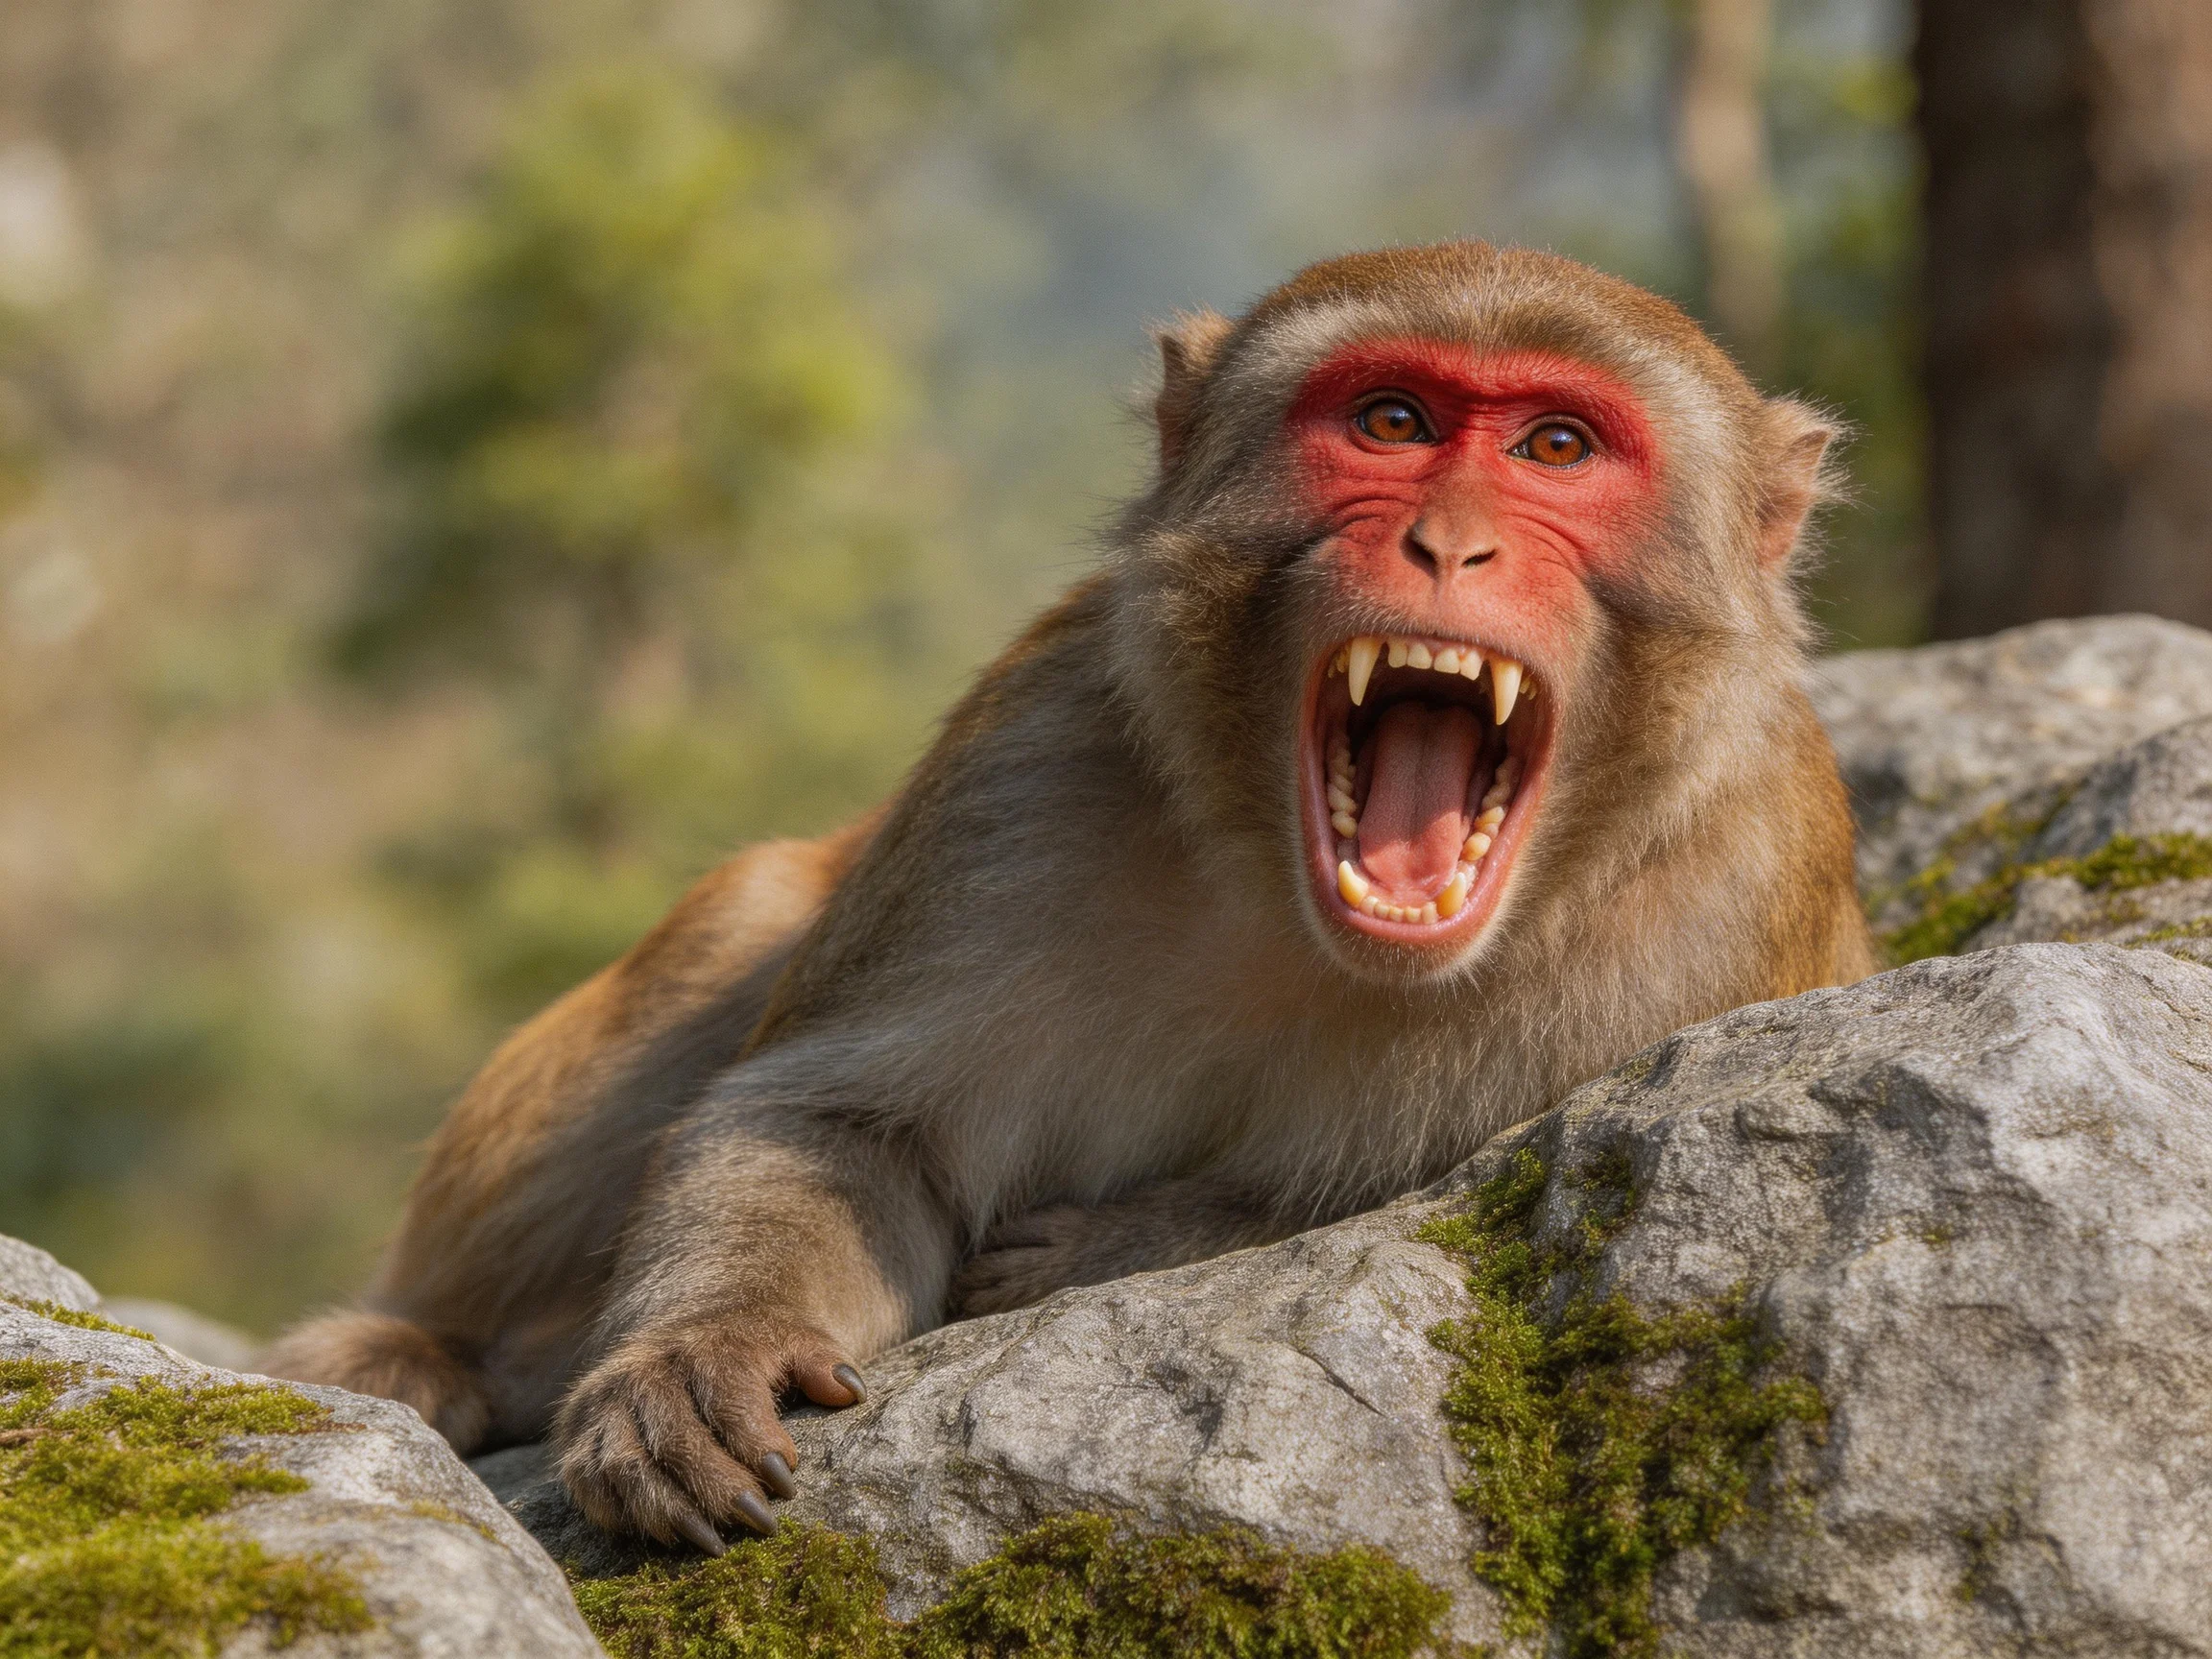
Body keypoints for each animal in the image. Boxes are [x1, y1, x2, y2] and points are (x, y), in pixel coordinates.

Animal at [265, 242, 1876, 1556]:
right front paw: (705, 1353)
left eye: (1557, 447)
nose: (1448, 542)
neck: (1313, 929)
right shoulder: (1021, 770)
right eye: (1393, 424)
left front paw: (1109, 1248)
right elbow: (837, 1125)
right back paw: (430, 1352)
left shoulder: (1732, 930)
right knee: (742, 917)